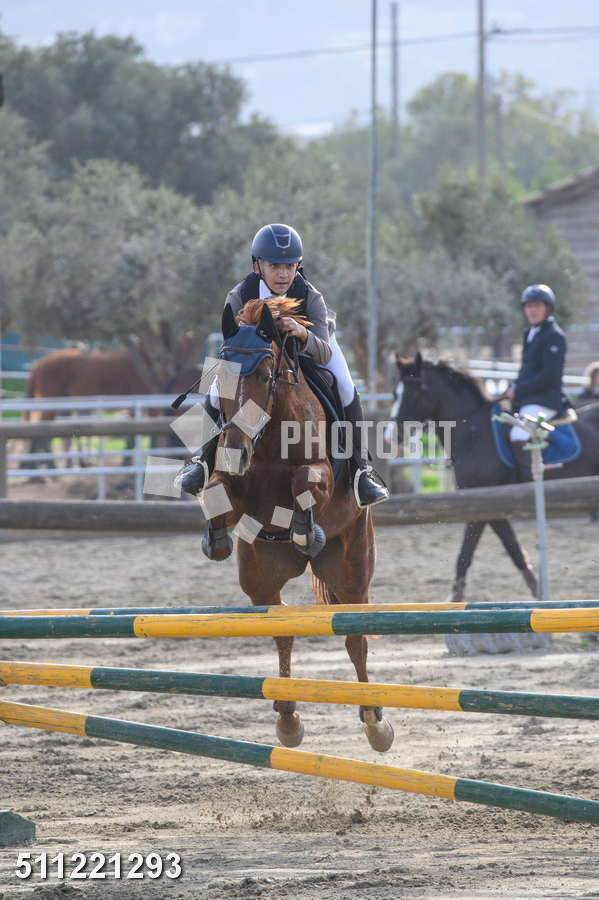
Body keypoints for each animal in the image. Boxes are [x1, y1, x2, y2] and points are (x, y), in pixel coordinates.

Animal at [200, 296, 394, 753]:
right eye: (222, 376)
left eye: (264, 374)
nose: (236, 451)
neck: (268, 438)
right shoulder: (237, 487)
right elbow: (215, 491)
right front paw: (216, 540)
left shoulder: (318, 474)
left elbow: (306, 482)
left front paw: (306, 531)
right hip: (260, 577)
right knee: (282, 628)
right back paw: (288, 717)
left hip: (352, 572)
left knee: (355, 638)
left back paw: (375, 721)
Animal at [389, 353, 599, 602]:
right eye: (394, 394)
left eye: (414, 392)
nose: (392, 436)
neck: (473, 432)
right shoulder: (492, 507)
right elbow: (512, 549)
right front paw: (537, 592)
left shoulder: (482, 504)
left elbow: (467, 553)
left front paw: (456, 597)